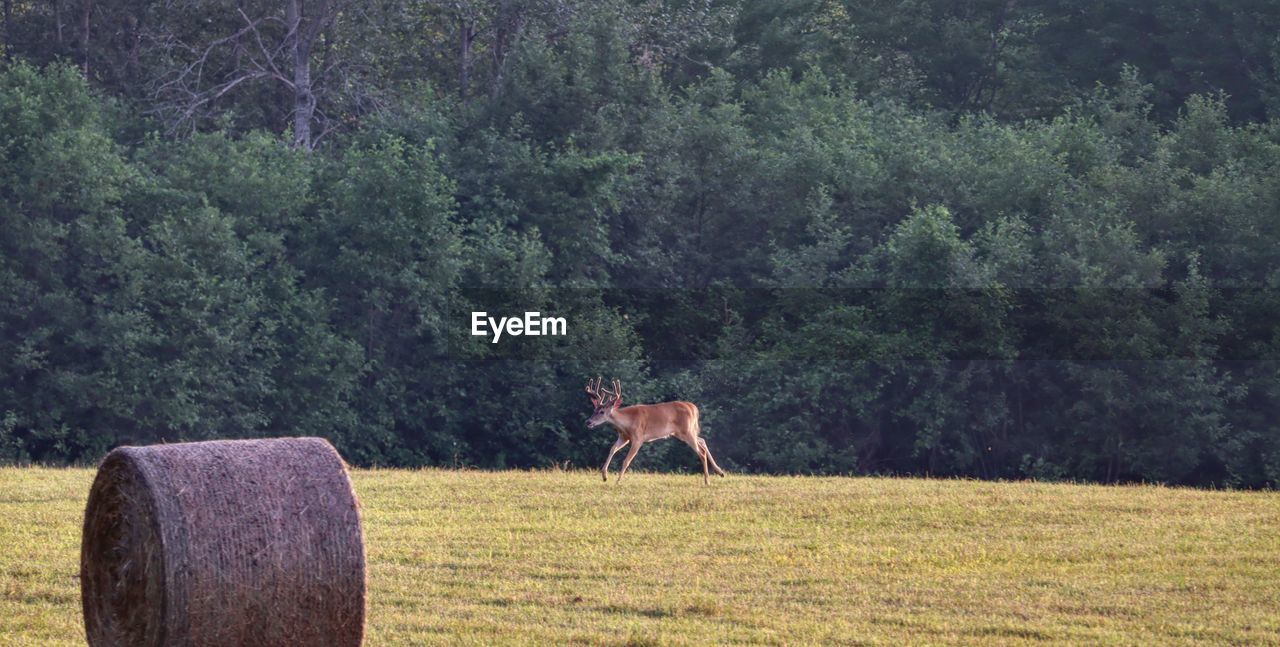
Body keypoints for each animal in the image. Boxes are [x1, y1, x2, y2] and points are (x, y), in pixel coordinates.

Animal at [586, 376, 727, 481]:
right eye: (594, 409)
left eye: (602, 412)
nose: (588, 422)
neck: (627, 422)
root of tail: (694, 408)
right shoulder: (624, 437)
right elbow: (612, 449)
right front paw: (604, 475)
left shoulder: (638, 438)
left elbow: (626, 461)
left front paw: (618, 481)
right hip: (682, 432)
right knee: (702, 440)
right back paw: (720, 472)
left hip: (687, 431)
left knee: (701, 452)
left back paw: (707, 480)